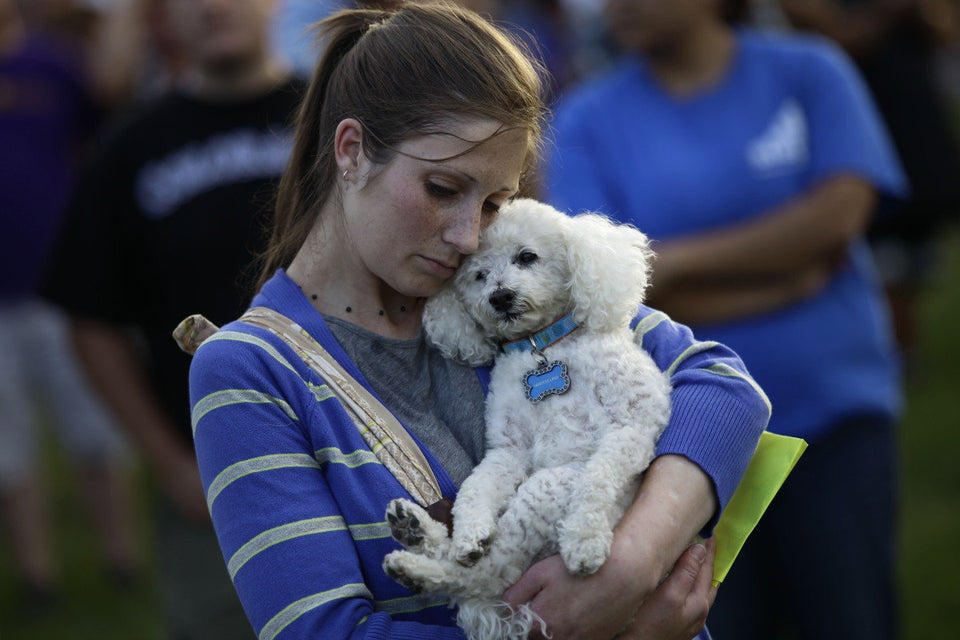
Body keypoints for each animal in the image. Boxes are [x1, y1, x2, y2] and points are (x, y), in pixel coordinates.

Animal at [378, 198, 672, 636]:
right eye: (478, 275)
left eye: (527, 257)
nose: (500, 297)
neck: (543, 348)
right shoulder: (507, 450)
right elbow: (476, 489)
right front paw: (470, 533)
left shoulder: (634, 425)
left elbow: (599, 477)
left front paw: (584, 541)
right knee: (482, 572)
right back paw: (417, 540)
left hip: (548, 486)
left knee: (490, 575)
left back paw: (415, 555)